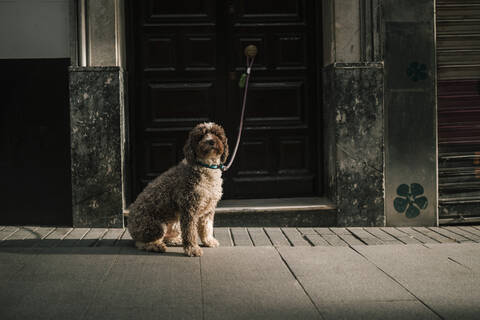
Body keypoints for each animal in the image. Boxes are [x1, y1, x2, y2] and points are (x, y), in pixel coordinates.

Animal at [127, 122, 229, 258]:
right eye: (200, 136)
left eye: (216, 134)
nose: (211, 141)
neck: (205, 166)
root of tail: (129, 223)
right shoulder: (189, 209)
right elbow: (190, 232)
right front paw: (192, 249)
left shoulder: (208, 209)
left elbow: (207, 227)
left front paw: (208, 241)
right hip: (157, 226)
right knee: (141, 242)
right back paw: (156, 246)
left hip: (174, 221)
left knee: (165, 236)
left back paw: (174, 240)